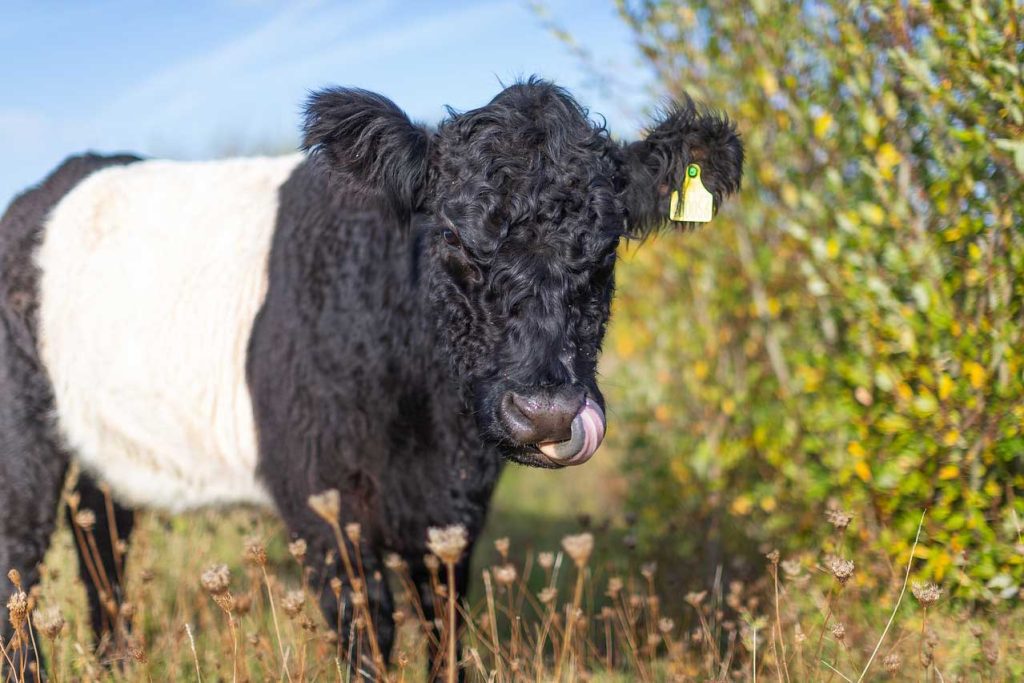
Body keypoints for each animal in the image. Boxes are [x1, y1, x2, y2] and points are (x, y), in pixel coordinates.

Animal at [0, 78, 742, 675]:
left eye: (607, 249)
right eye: (451, 238)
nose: (547, 412)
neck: (429, 429)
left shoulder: (453, 516)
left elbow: (446, 633)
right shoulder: (322, 501)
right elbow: (369, 640)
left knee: (102, 536)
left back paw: (116, 661)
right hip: (23, 430)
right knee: (20, 556)